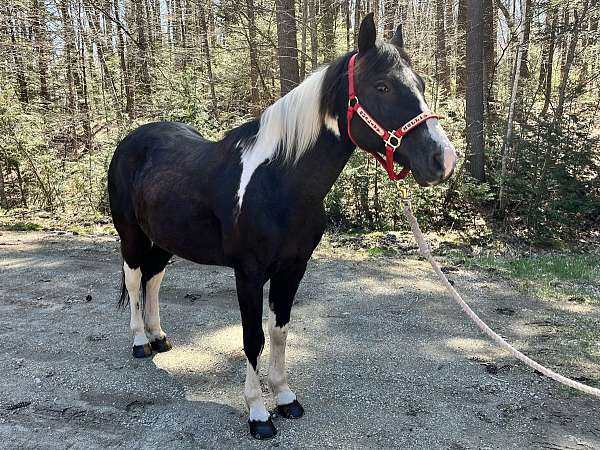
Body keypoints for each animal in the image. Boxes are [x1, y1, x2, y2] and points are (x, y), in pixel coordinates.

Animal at [108, 14, 458, 440]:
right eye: (383, 86)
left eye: (421, 84)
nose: (442, 159)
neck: (278, 182)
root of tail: (131, 139)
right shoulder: (248, 273)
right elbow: (252, 338)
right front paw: (258, 413)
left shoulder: (293, 268)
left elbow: (279, 332)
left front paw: (285, 398)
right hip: (131, 234)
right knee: (133, 279)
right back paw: (140, 341)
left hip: (164, 239)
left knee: (154, 279)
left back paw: (158, 337)